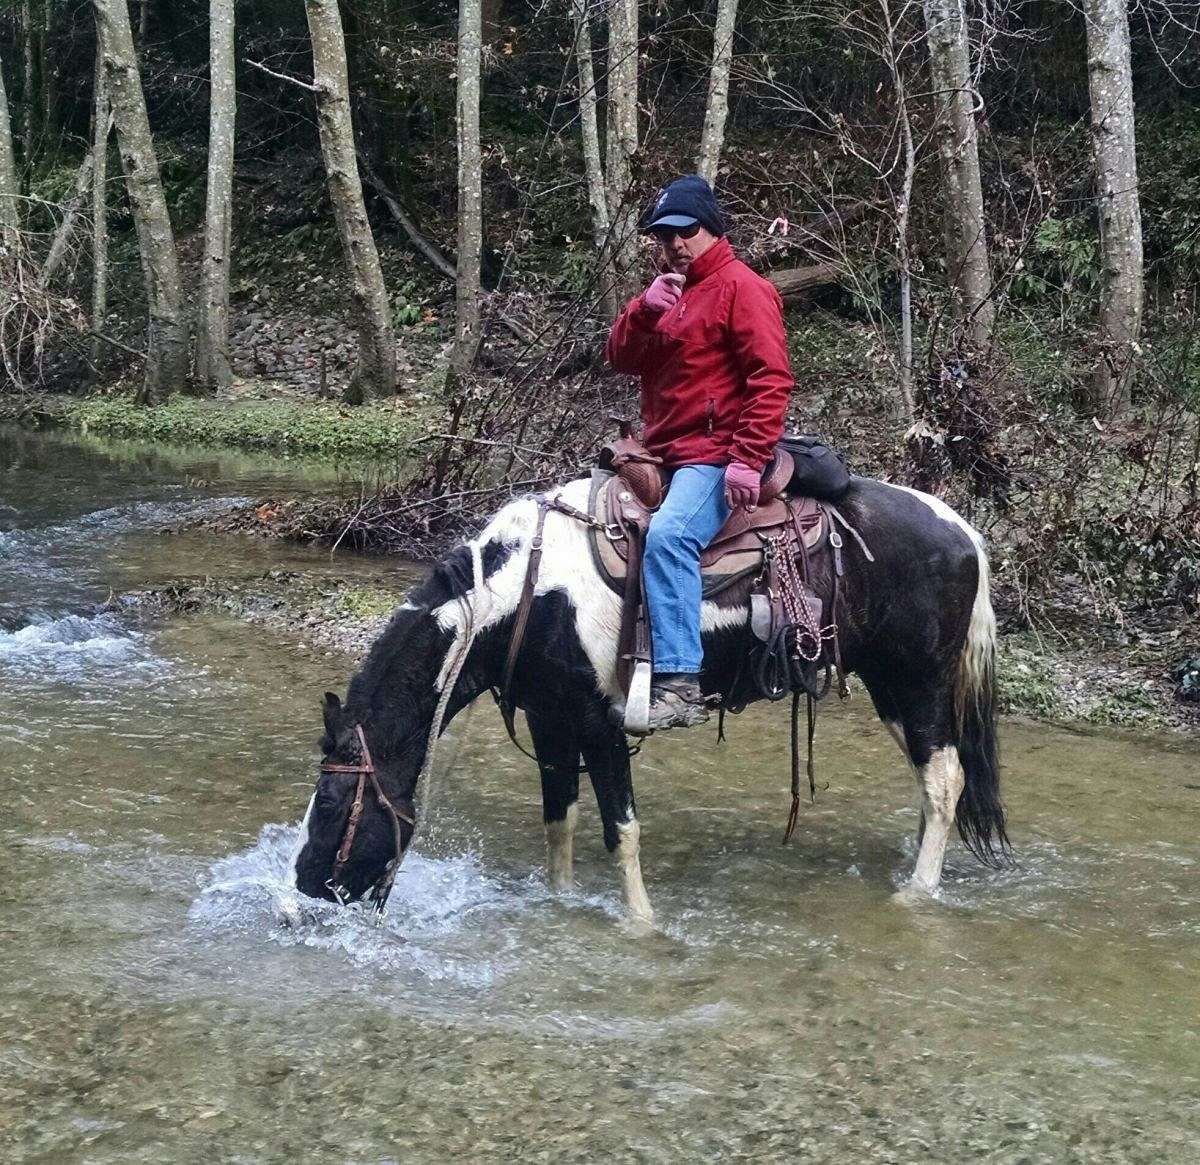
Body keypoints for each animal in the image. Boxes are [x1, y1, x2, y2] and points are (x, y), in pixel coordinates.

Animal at [286, 473, 1008, 925]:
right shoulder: (551, 720)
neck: (522, 595)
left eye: (333, 806)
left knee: (944, 779)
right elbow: (561, 823)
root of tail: (964, 532)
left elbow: (621, 831)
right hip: (898, 690)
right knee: (937, 781)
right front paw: (560, 906)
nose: (296, 904)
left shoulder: (600, 722)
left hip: (914, 683)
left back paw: (915, 894)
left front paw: (641, 927)